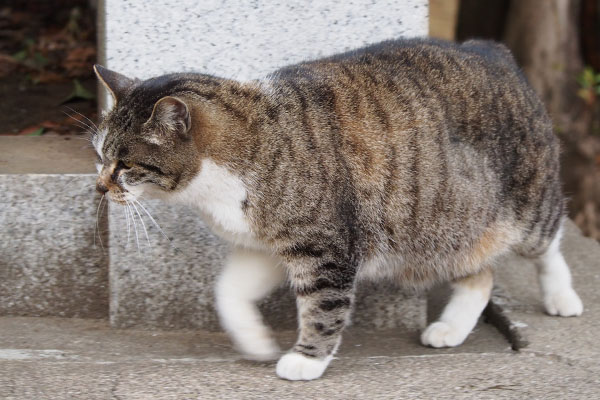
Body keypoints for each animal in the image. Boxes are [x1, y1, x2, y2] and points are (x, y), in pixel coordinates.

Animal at [92, 38, 580, 382]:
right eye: (100, 155)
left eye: (125, 165)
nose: (99, 186)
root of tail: (493, 49)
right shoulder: (264, 245)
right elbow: (228, 291)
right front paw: (255, 342)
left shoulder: (323, 246)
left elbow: (323, 307)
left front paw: (306, 361)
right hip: (447, 229)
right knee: (480, 275)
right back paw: (449, 329)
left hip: (529, 206)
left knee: (550, 241)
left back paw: (562, 298)